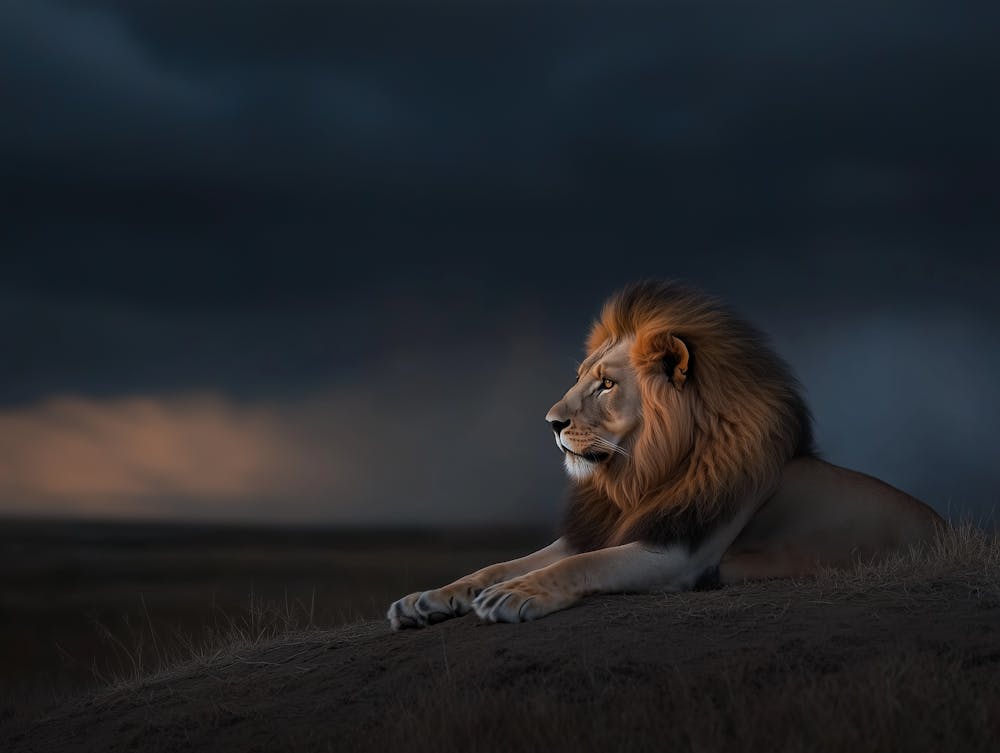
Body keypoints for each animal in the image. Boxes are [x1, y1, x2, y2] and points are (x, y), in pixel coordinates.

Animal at [387, 280, 943, 629]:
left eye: (606, 385)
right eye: (580, 378)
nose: (551, 423)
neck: (640, 474)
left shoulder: (681, 553)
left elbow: (581, 566)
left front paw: (516, 595)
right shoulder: (604, 528)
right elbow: (499, 564)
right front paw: (426, 599)